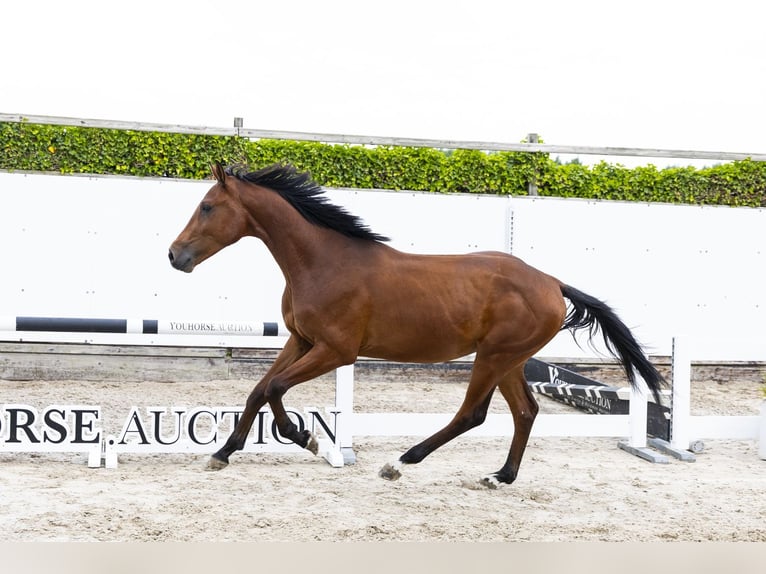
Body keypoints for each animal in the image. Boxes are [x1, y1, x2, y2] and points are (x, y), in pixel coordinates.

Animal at [168, 162, 664, 488]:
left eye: (207, 206)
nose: (175, 256)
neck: (323, 262)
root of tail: (553, 283)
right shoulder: (300, 340)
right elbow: (257, 391)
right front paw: (222, 454)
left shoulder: (335, 350)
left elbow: (273, 389)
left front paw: (307, 439)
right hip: (510, 360)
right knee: (525, 411)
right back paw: (500, 477)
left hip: (494, 356)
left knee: (472, 414)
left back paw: (400, 462)